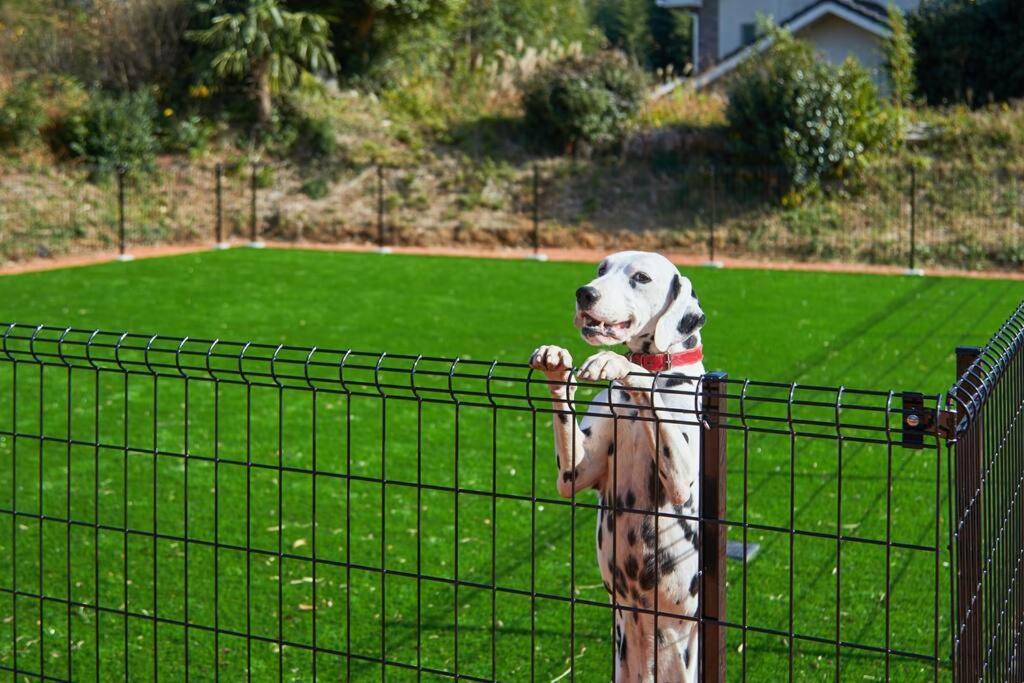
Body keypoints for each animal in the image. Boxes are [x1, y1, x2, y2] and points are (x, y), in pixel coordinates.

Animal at [528, 250, 704, 683]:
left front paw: (614, 363)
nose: (584, 293)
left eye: (641, 277)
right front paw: (556, 366)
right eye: (600, 270)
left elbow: (640, 377)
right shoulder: (574, 472)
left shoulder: (681, 480)